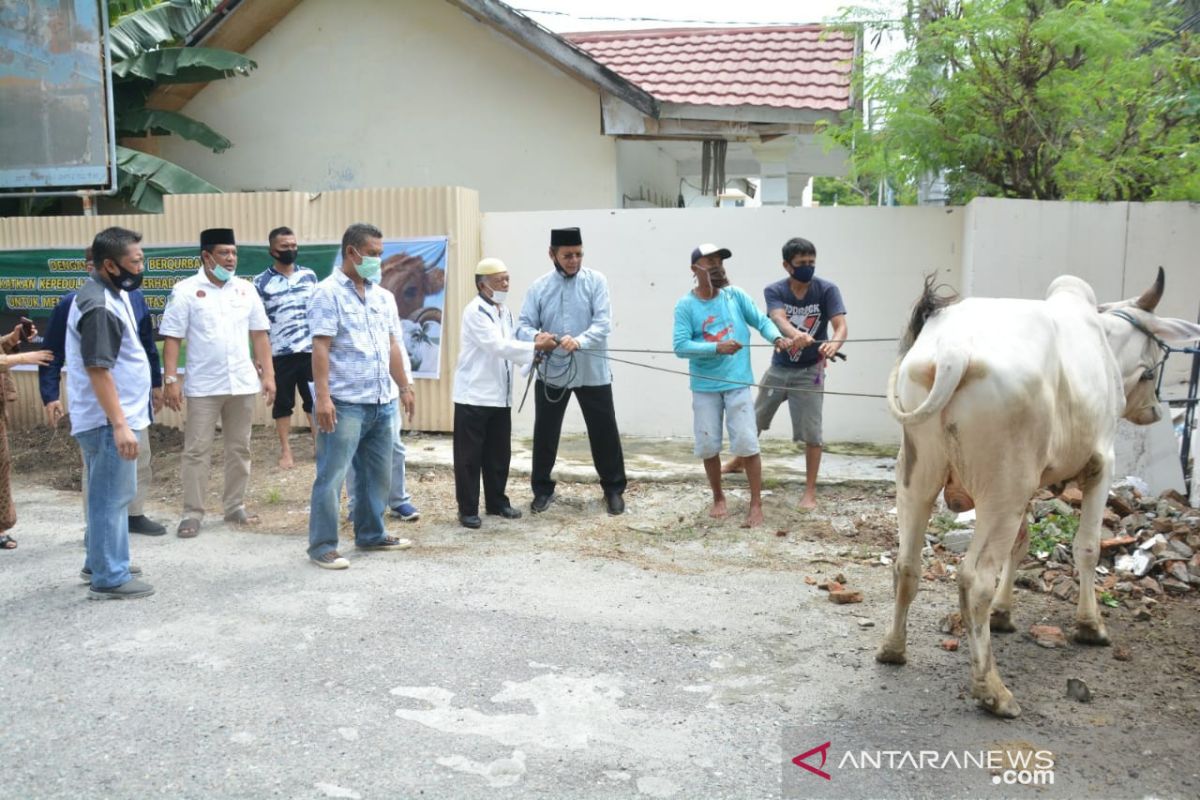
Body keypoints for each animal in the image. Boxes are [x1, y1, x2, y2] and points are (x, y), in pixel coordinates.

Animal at [878, 271, 1195, 719]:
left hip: (919, 477)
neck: (1103, 343)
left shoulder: (1029, 487)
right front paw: (1090, 625)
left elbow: (1021, 546)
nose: (1154, 410)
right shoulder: (1102, 463)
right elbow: (1087, 548)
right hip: (1002, 489)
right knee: (974, 578)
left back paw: (893, 649)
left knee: (906, 564)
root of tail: (952, 350)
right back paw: (992, 690)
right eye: (1153, 361)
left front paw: (1003, 613)